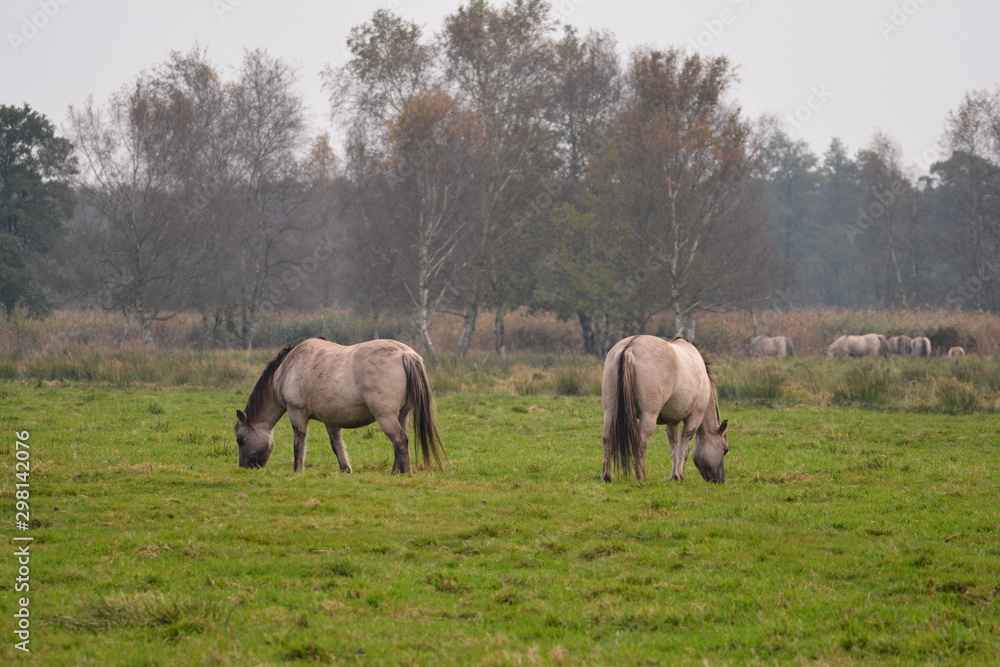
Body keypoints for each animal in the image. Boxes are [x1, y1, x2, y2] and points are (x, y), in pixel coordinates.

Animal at [234, 340, 442, 474]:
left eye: (240, 439)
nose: (244, 467)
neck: (288, 368)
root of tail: (403, 353)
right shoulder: (331, 419)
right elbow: (336, 444)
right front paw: (345, 469)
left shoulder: (296, 413)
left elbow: (298, 444)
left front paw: (298, 470)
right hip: (402, 415)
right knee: (399, 443)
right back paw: (395, 471)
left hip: (386, 417)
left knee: (400, 440)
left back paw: (405, 473)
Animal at [596, 336, 732, 482]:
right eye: (725, 450)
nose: (720, 480)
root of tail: (629, 347)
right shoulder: (694, 418)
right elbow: (684, 448)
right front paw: (680, 475)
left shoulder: (672, 421)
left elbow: (674, 446)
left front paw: (674, 476)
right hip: (649, 415)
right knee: (641, 442)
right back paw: (641, 477)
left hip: (610, 411)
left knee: (607, 439)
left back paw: (606, 477)